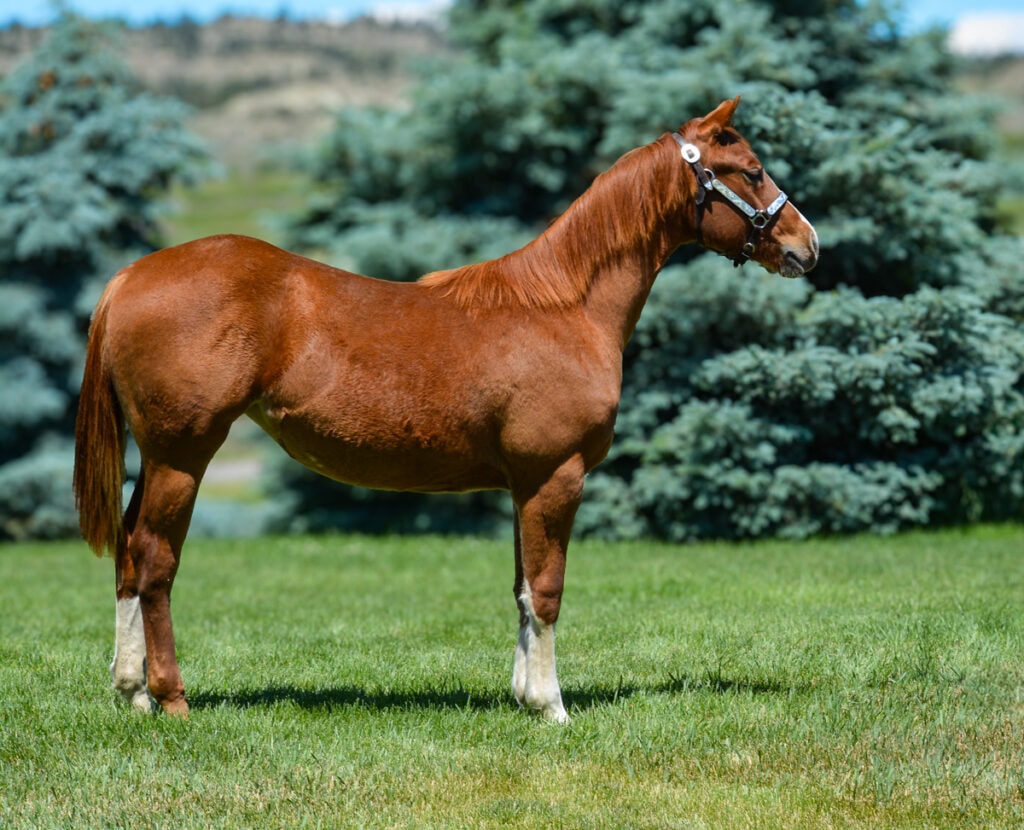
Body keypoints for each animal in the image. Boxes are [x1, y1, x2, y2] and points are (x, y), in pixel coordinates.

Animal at [73, 97, 817, 723]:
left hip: (158, 458)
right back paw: (171, 698)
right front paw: (551, 706)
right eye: (751, 170)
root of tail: (130, 277)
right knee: (154, 561)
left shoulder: (524, 483)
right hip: (183, 455)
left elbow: (521, 589)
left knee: (128, 560)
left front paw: (522, 695)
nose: (808, 245)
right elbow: (547, 589)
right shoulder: (556, 475)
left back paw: (131, 692)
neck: (564, 307)